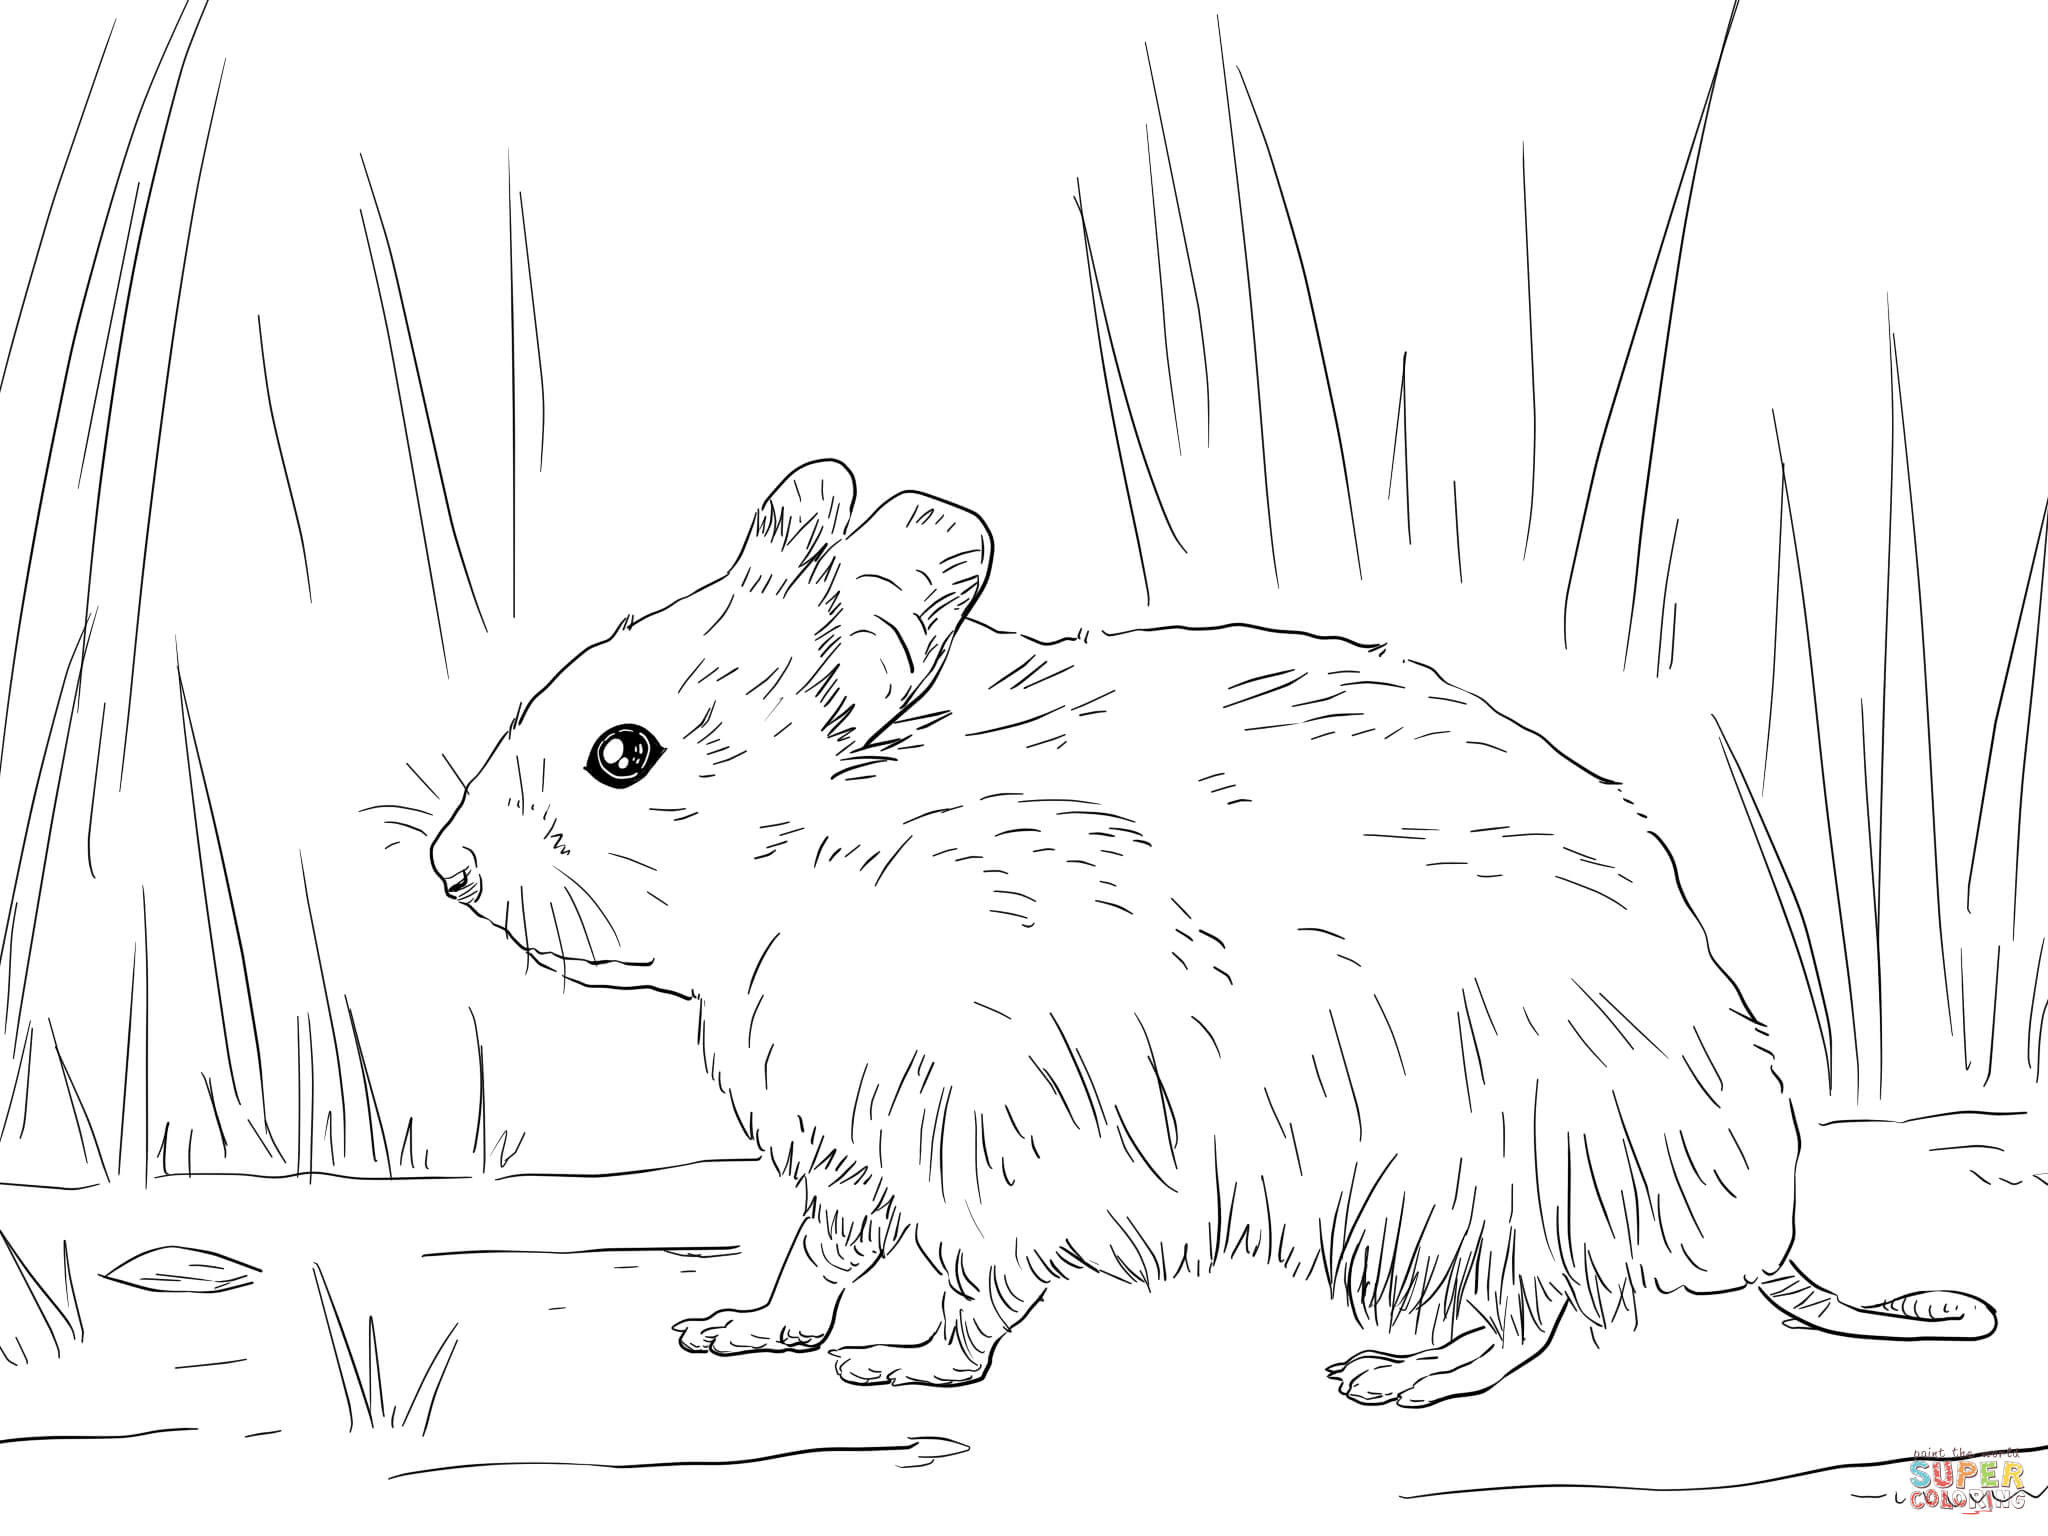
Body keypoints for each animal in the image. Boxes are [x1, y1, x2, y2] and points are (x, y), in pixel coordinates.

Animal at [428, 459, 1993, 1406]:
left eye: (621, 756)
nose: (445, 869)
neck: (820, 862)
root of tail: (1756, 1212)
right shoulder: (853, 1149)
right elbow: (814, 1257)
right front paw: (740, 1334)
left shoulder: (992, 1146)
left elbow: (973, 1301)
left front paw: (898, 1370)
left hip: (1466, 1181)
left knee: (1535, 1316)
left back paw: (1396, 1377)